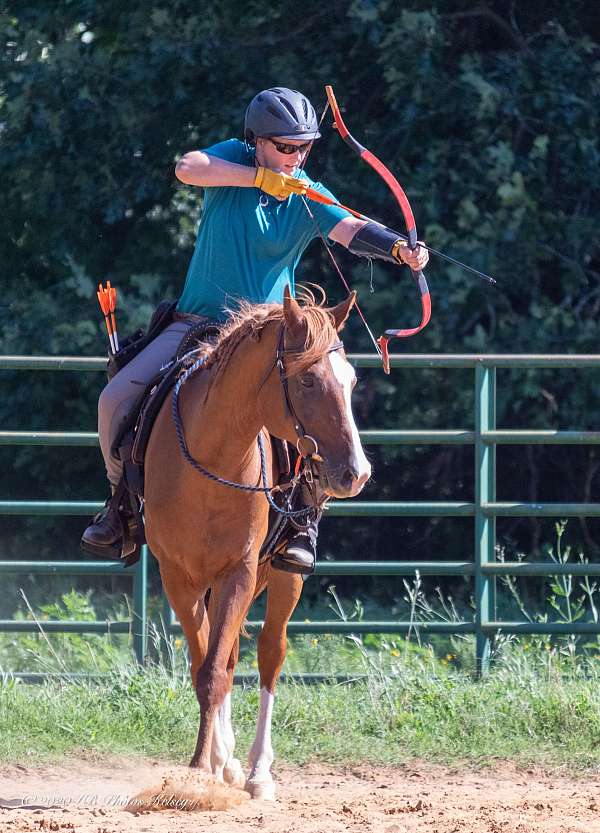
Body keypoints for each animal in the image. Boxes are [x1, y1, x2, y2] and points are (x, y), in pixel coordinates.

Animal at [144, 288, 370, 800]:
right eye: (307, 380)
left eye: (350, 381)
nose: (357, 472)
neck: (213, 460)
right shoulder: (178, 580)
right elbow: (205, 666)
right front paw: (205, 765)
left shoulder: (240, 572)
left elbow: (215, 672)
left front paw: (205, 768)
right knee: (225, 657)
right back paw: (226, 761)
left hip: (281, 576)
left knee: (269, 653)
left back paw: (256, 772)